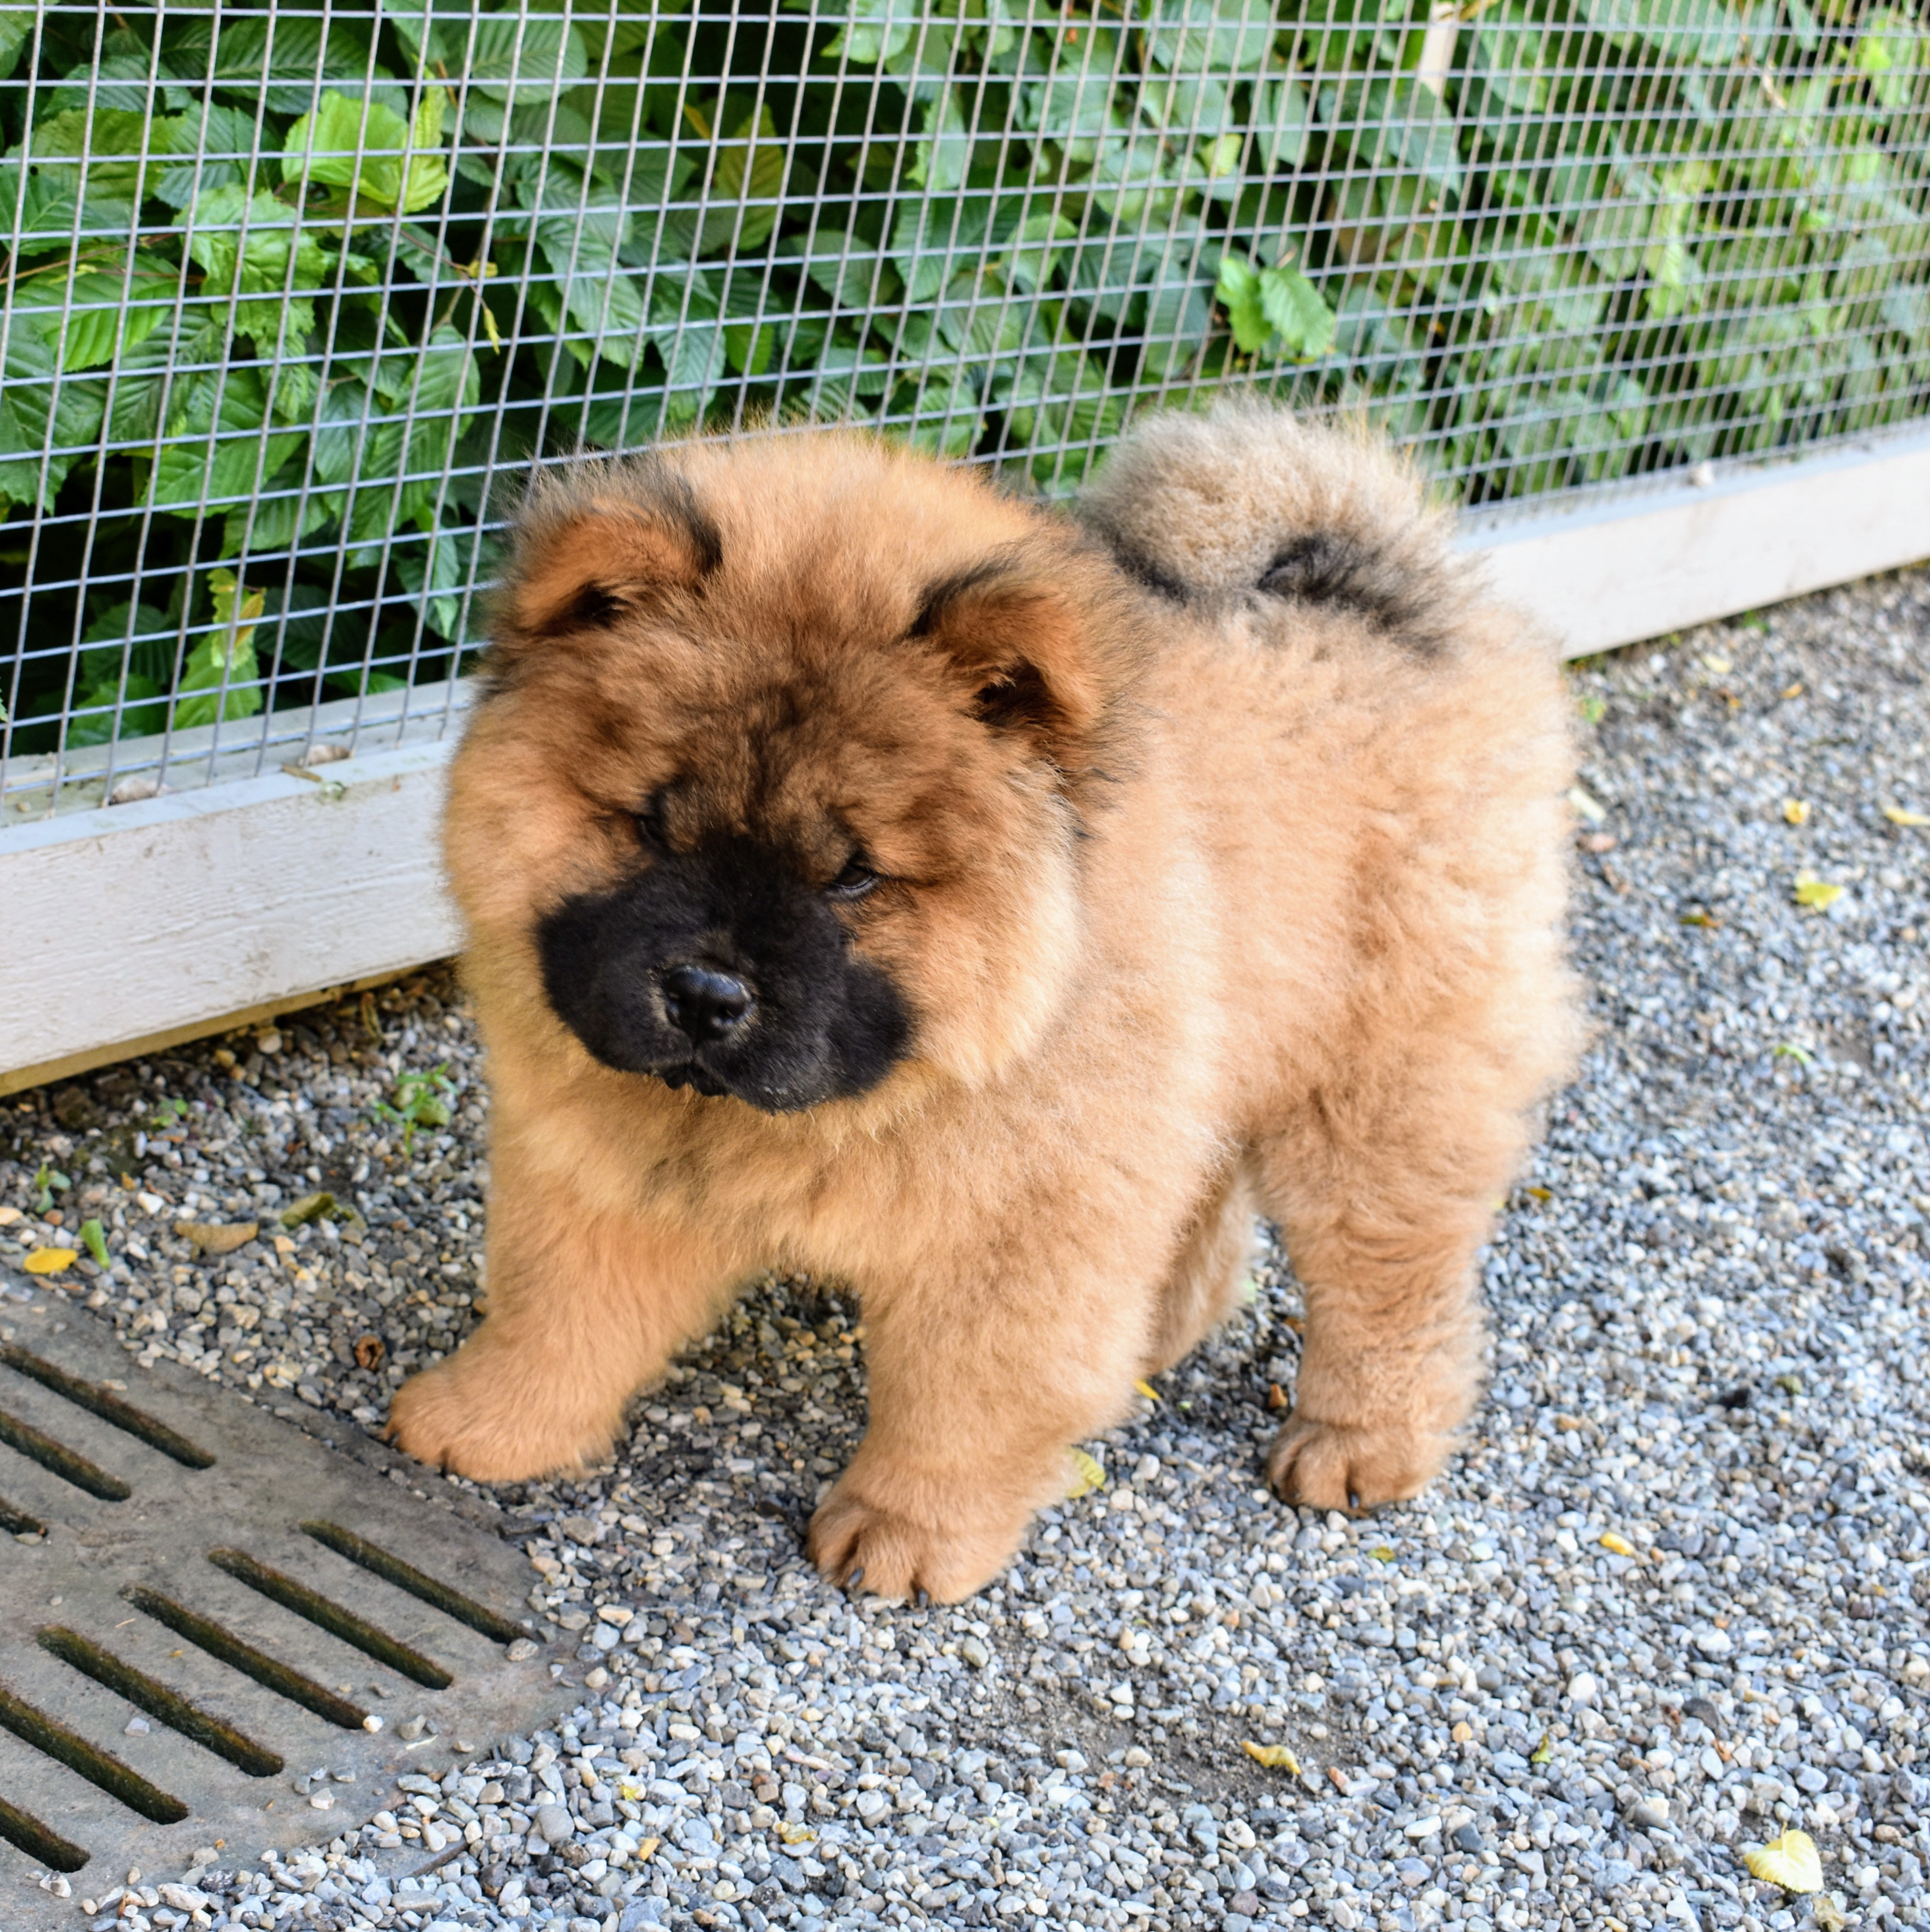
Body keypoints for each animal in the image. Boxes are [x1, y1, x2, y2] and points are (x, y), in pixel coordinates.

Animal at [392, 396, 1584, 1600]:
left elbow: (964, 1400)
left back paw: (1356, 1445)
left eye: (853, 875)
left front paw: (903, 1535)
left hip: (1376, 1089)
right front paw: (483, 1421)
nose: (705, 990)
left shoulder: (1017, 1225)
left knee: (1392, 1279)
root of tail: (1385, 597)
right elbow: (557, 1309)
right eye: (649, 822)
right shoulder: (605, 1163)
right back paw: (1160, 1334)